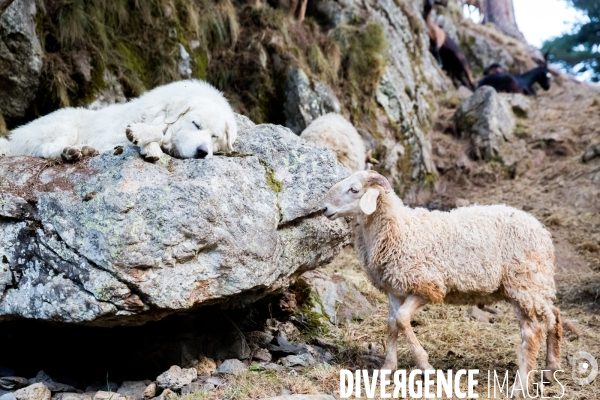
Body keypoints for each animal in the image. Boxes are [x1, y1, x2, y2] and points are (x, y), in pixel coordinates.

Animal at [0, 79, 239, 162]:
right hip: (66, 125)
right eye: (196, 125)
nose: (202, 151)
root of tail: (14, 137)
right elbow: (159, 132)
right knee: (48, 149)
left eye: (214, 136)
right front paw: (144, 137)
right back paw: (73, 151)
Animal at [324, 171, 564, 390]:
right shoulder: (394, 288)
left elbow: (402, 319)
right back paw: (550, 370)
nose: (325, 209)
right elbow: (392, 323)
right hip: (532, 285)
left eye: (354, 189)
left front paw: (425, 366)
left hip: (524, 281)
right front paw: (387, 369)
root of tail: (541, 230)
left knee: (532, 331)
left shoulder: (425, 286)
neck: (398, 227)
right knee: (553, 315)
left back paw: (521, 385)